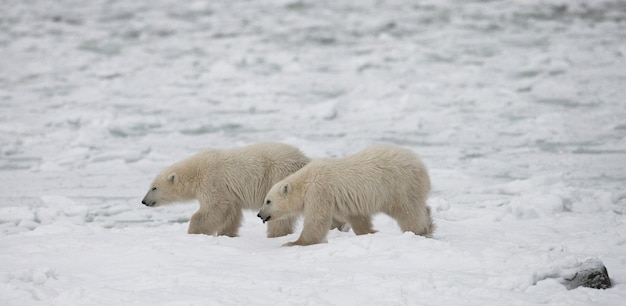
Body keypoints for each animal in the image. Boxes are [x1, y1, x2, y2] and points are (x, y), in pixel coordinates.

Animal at [140, 142, 308, 238]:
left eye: (154, 187)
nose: (143, 201)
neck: (195, 171)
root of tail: (304, 160)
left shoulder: (212, 182)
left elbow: (214, 208)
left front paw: (194, 232)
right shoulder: (230, 193)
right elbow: (232, 213)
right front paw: (226, 234)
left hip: (278, 176)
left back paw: (276, 234)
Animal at [256, 143, 432, 246]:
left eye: (268, 201)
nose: (259, 214)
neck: (306, 180)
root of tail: (420, 164)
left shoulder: (319, 191)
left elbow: (316, 220)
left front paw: (293, 243)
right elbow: (358, 217)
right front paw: (370, 232)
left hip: (399, 185)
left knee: (408, 212)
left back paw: (420, 231)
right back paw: (430, 224)